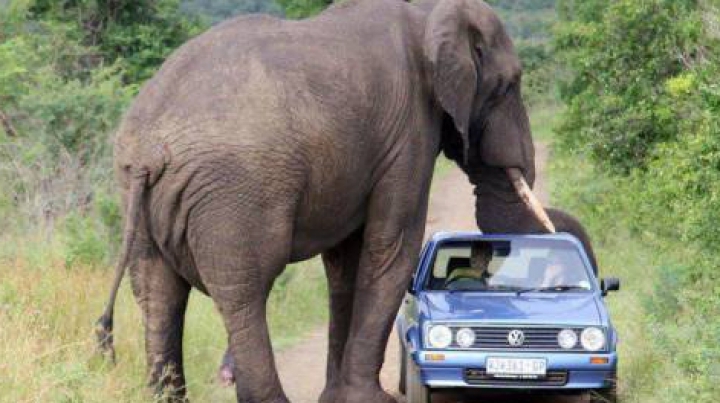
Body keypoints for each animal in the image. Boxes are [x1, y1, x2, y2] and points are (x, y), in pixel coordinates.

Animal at [95, 0, 556, 402]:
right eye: (509, 85)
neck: (429, 12)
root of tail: (149, 150)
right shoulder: (408, 134)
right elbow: (393, 247)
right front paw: (369, 399)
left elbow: (345, 263)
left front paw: (336, 396)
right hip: (234, 193)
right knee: (244, 291)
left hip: (135, 193)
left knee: (158, 292)